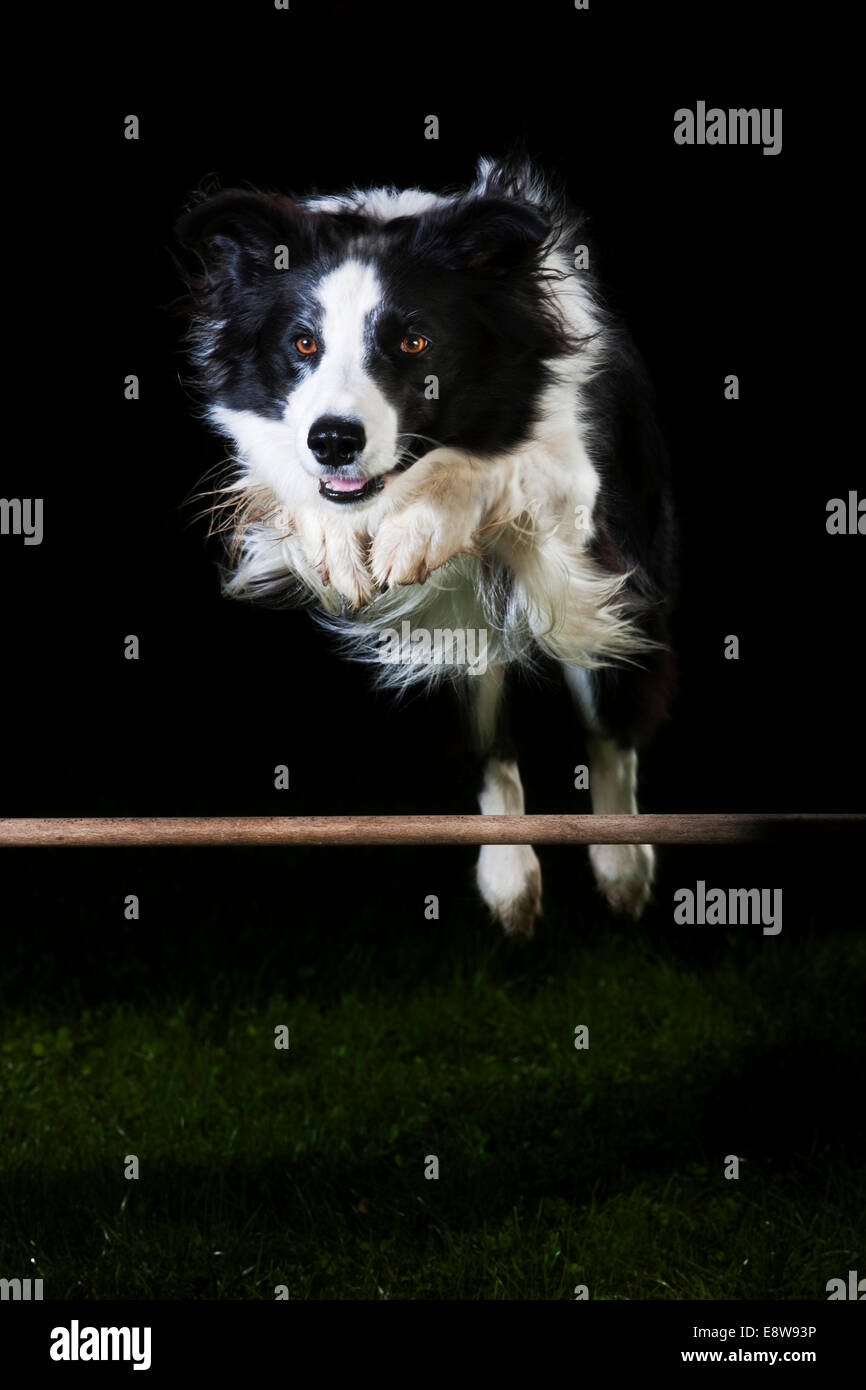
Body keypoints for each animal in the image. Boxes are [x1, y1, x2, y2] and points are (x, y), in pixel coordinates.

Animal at [176, 154, 678, 934]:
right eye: (303, 343)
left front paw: (421, 523)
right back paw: (511, 881)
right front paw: (340, 542)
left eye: (414, 342)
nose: (333, 439)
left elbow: (503, 471)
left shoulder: (579, 490)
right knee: (490, 736)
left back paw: (623, 867)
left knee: (608, 712)